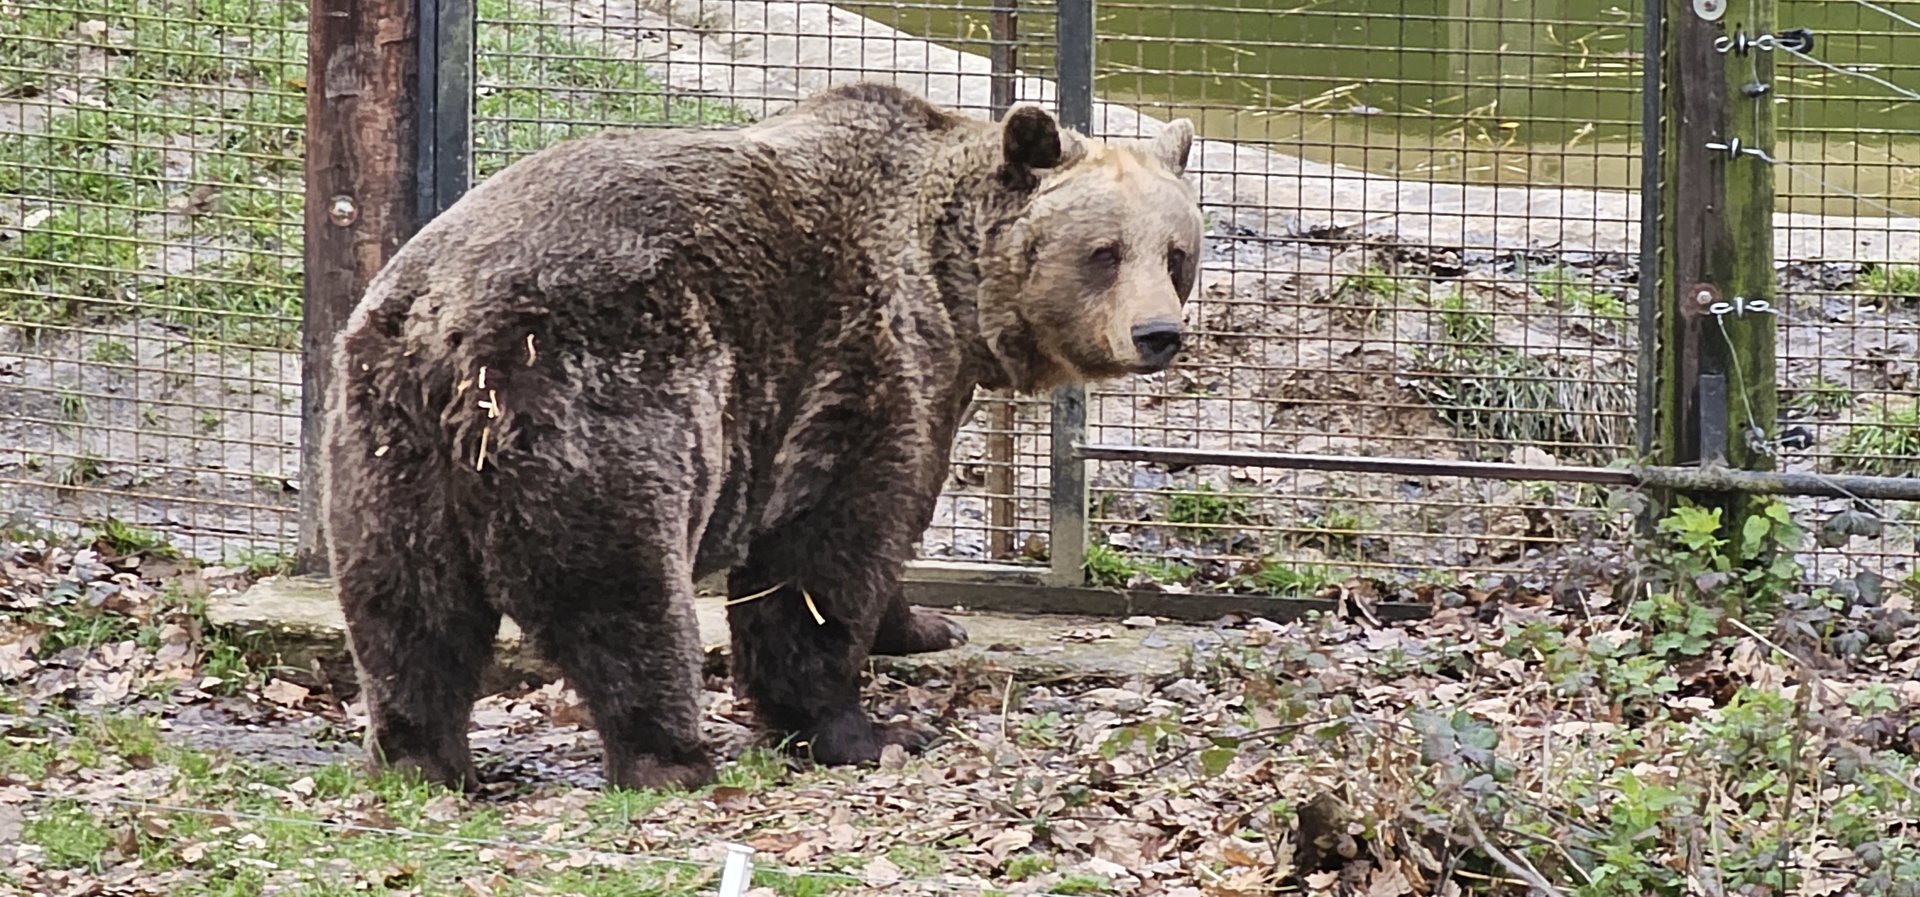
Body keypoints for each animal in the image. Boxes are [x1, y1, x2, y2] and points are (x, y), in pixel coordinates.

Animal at [320, 81, 1202, 792]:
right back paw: (673, 755)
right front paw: (865, 725)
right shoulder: (858, 365)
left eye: (1177, 253)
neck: (952, 285)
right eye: (1103, 252)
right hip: (604, 396)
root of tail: (448, 327)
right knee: (625, 599)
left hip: (389, 447)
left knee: (407, 610)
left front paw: (923, 624)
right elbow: (826, 554)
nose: (1158, 333)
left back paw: (425, 757)